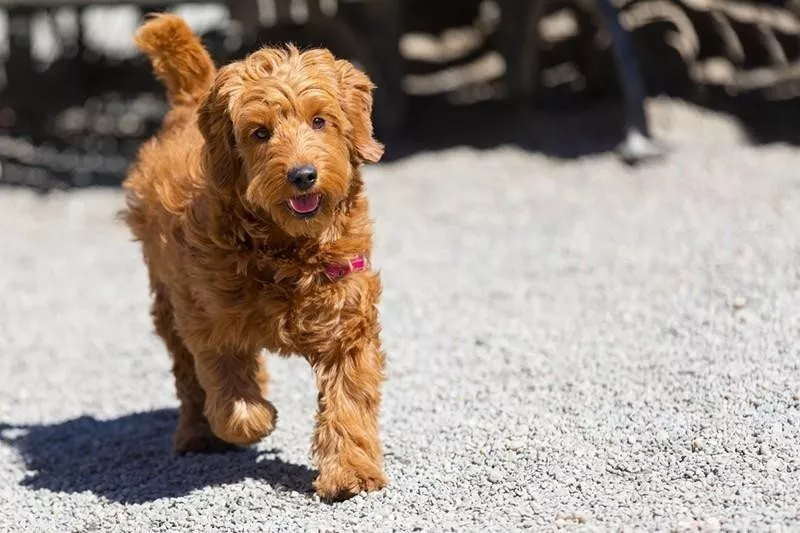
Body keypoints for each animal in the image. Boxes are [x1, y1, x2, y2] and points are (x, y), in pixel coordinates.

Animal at [120, 14, 390, 500]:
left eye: (319, 120)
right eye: (260, 132)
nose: (302, 175)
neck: (287, 248)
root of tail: (192, 101)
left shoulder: (346, 319)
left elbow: (348, 399)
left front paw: (350, 472)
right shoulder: (207, 316)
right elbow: (230, 393)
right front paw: (255, 419)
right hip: (167, 300)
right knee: (188, 375)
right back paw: (198, 433)